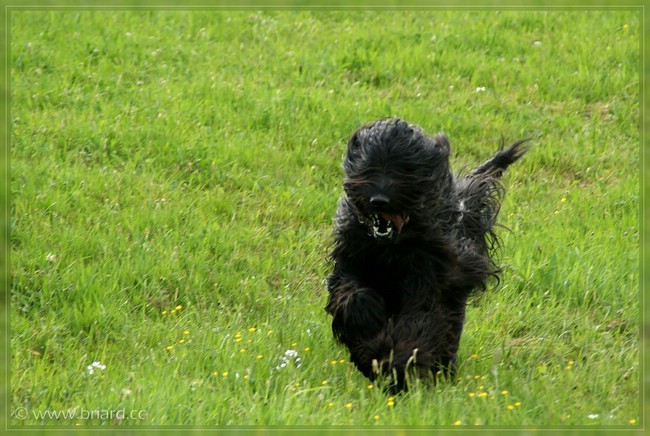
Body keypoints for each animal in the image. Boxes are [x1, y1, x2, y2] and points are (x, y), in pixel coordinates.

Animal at [324, 118, 528, 392]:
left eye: (405, 169)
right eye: (369, 164)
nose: (379, 200)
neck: (392, 245)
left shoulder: (430, 273)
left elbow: (421, 319)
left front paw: (396, 367)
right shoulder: (351, 255)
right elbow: (350, 293)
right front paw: (366, 324)